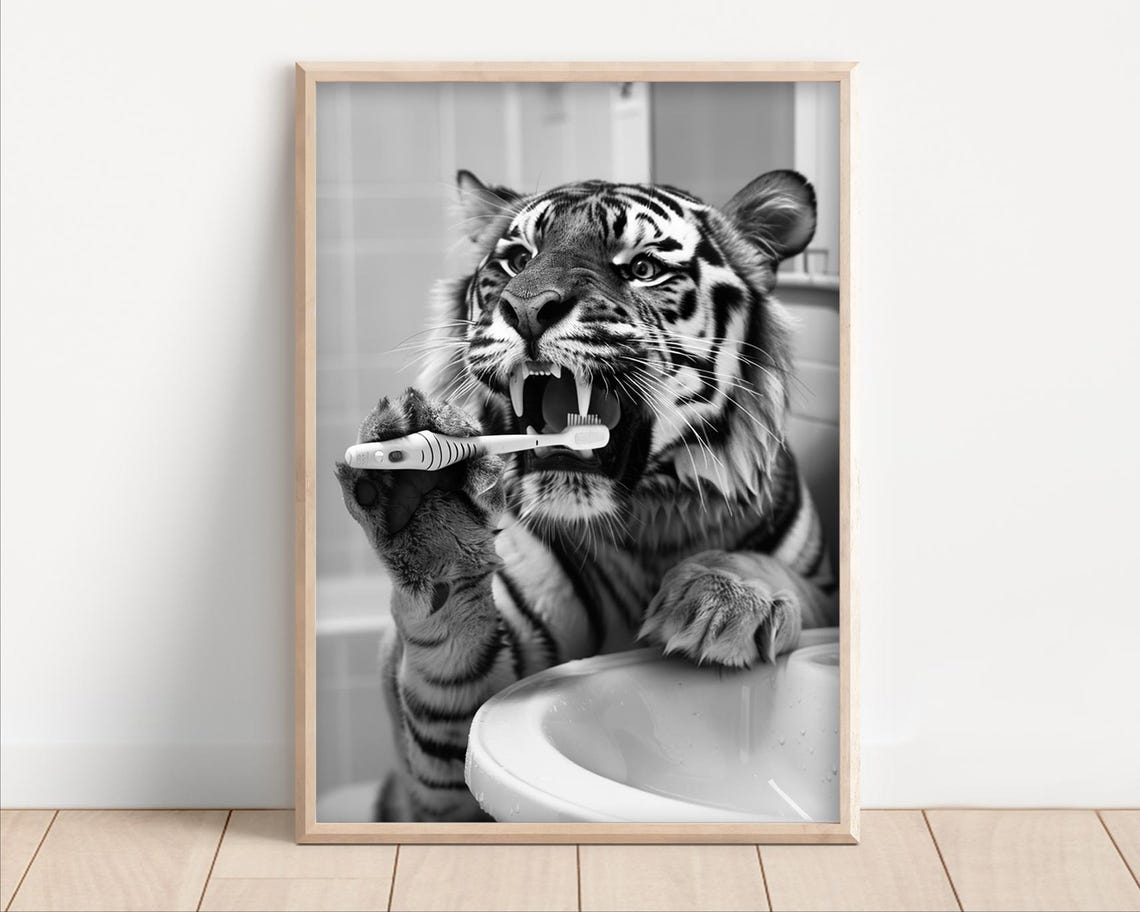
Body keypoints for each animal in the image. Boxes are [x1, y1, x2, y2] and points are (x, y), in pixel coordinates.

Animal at [335, 168, 837, 822]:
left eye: (641, 267)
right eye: (518, 260)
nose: (526, 308)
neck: (650, 521)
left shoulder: (828, 592)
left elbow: (780, 576)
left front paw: (724, 595)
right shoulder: (454, 773)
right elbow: (451, 665)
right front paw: (428, 507)